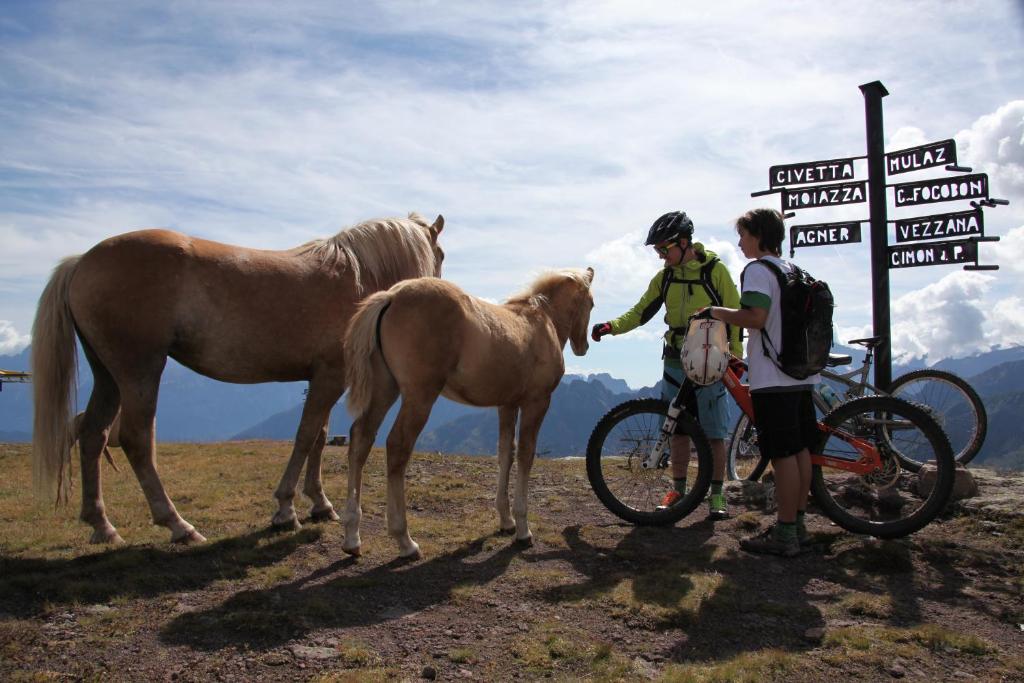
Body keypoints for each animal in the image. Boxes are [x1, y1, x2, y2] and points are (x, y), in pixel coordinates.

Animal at [30, 214, 444, 544]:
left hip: (108, 375)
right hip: (139, 370)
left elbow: (319, 436)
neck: (354, 276)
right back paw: (177, 525)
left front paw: (319, 504)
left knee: (92, 434)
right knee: (135, 439)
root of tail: (81, 262)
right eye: (439, 255)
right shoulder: (330, 376)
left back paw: (102, 525)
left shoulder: (326, 377)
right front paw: (285, 510)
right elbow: (306, 435)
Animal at [344, 264, 598, 557]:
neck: (542, 321)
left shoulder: (507, 404)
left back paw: (352, 538)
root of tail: (391, 296)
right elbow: (525, 456)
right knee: (397, 446)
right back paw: (405, 541)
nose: (583, 346)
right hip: (419, 396)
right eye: (591, 303)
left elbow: (505, 453)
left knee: (361, 439)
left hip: (385, 389)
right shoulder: (537, 402)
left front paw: (506, 521)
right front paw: (523, 529)